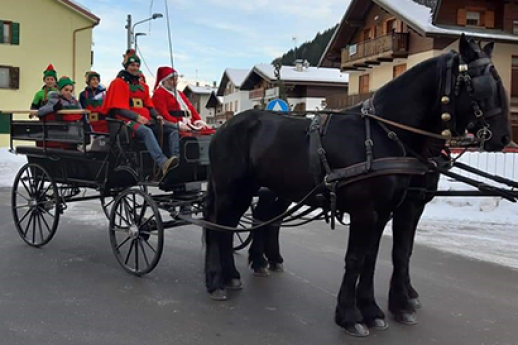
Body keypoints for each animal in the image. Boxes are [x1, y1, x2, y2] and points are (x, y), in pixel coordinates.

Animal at [204, 35, 512, 336]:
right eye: (483, 85)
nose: (504, 138)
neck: (384, 133)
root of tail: (223, 127)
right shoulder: (370, 210)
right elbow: (357, 258)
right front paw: (351, 316)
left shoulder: (387, 211)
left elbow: (377, 257)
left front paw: (376, 309)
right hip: (231, 190)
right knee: (218, 227)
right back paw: (217, 281)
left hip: (255, 190)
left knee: (237, 226)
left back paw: (234, 274)